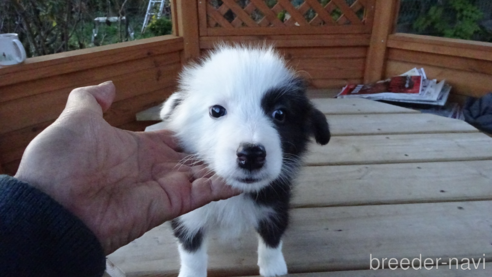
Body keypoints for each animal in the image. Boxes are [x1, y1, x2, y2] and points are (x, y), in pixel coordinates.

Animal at [161, 44, 330, 274]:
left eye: (280, 114)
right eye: (216, 110)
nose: (251, 155)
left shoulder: (275, 201)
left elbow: (272, 238)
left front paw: (273, 267)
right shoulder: (190, 216)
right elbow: (191, 253)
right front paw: (191, 273)